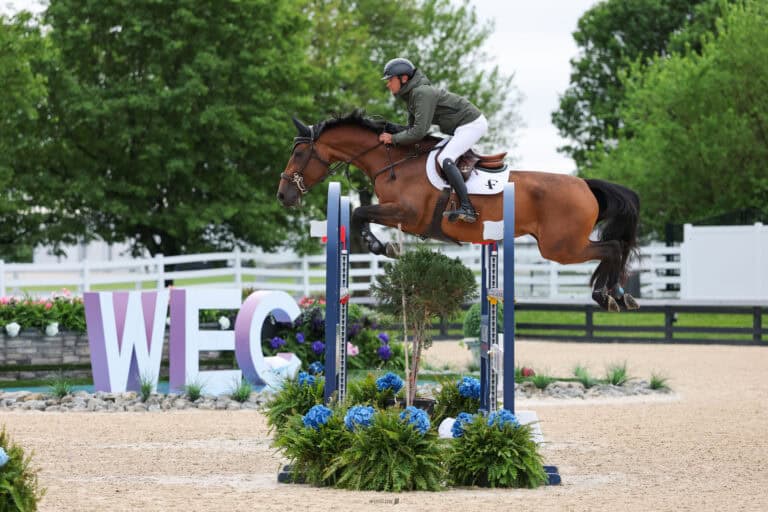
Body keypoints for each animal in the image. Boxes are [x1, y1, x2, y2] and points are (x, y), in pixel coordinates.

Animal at [277, 112, 640, 311]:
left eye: (298, 153)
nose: (283, 195)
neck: (394, 162)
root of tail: (585, 185)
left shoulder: (407, 214)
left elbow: (359, 214)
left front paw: (383, 246)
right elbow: (361, 214)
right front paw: (381, 245)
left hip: (561, 247)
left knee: (612, 248)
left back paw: (607, 295)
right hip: (562, 245)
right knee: (615, 248)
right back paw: (621, 296)